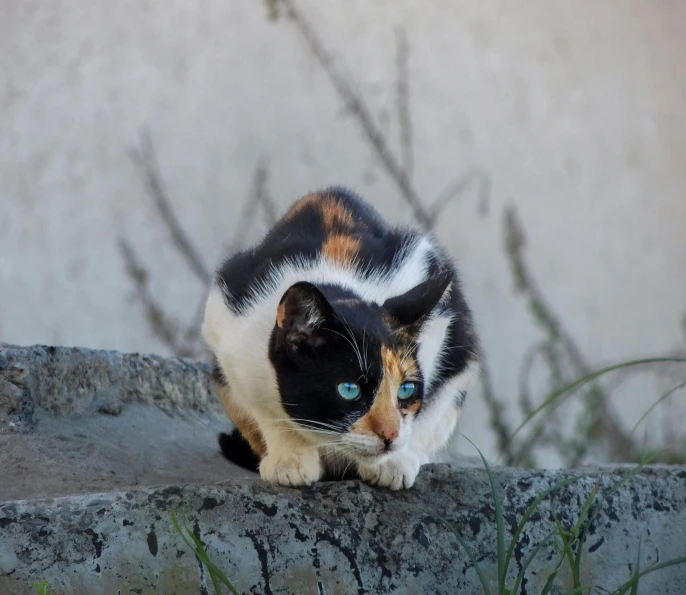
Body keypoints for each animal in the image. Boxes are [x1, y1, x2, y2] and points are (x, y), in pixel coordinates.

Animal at [204, 189, 482, 492]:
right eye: (349, 390)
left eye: (406, 390)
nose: (390, 435)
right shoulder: (229, 326)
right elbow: (262, 408)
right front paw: (289, 460)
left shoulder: (445, 322)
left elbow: (435, 410)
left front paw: (393, 464)